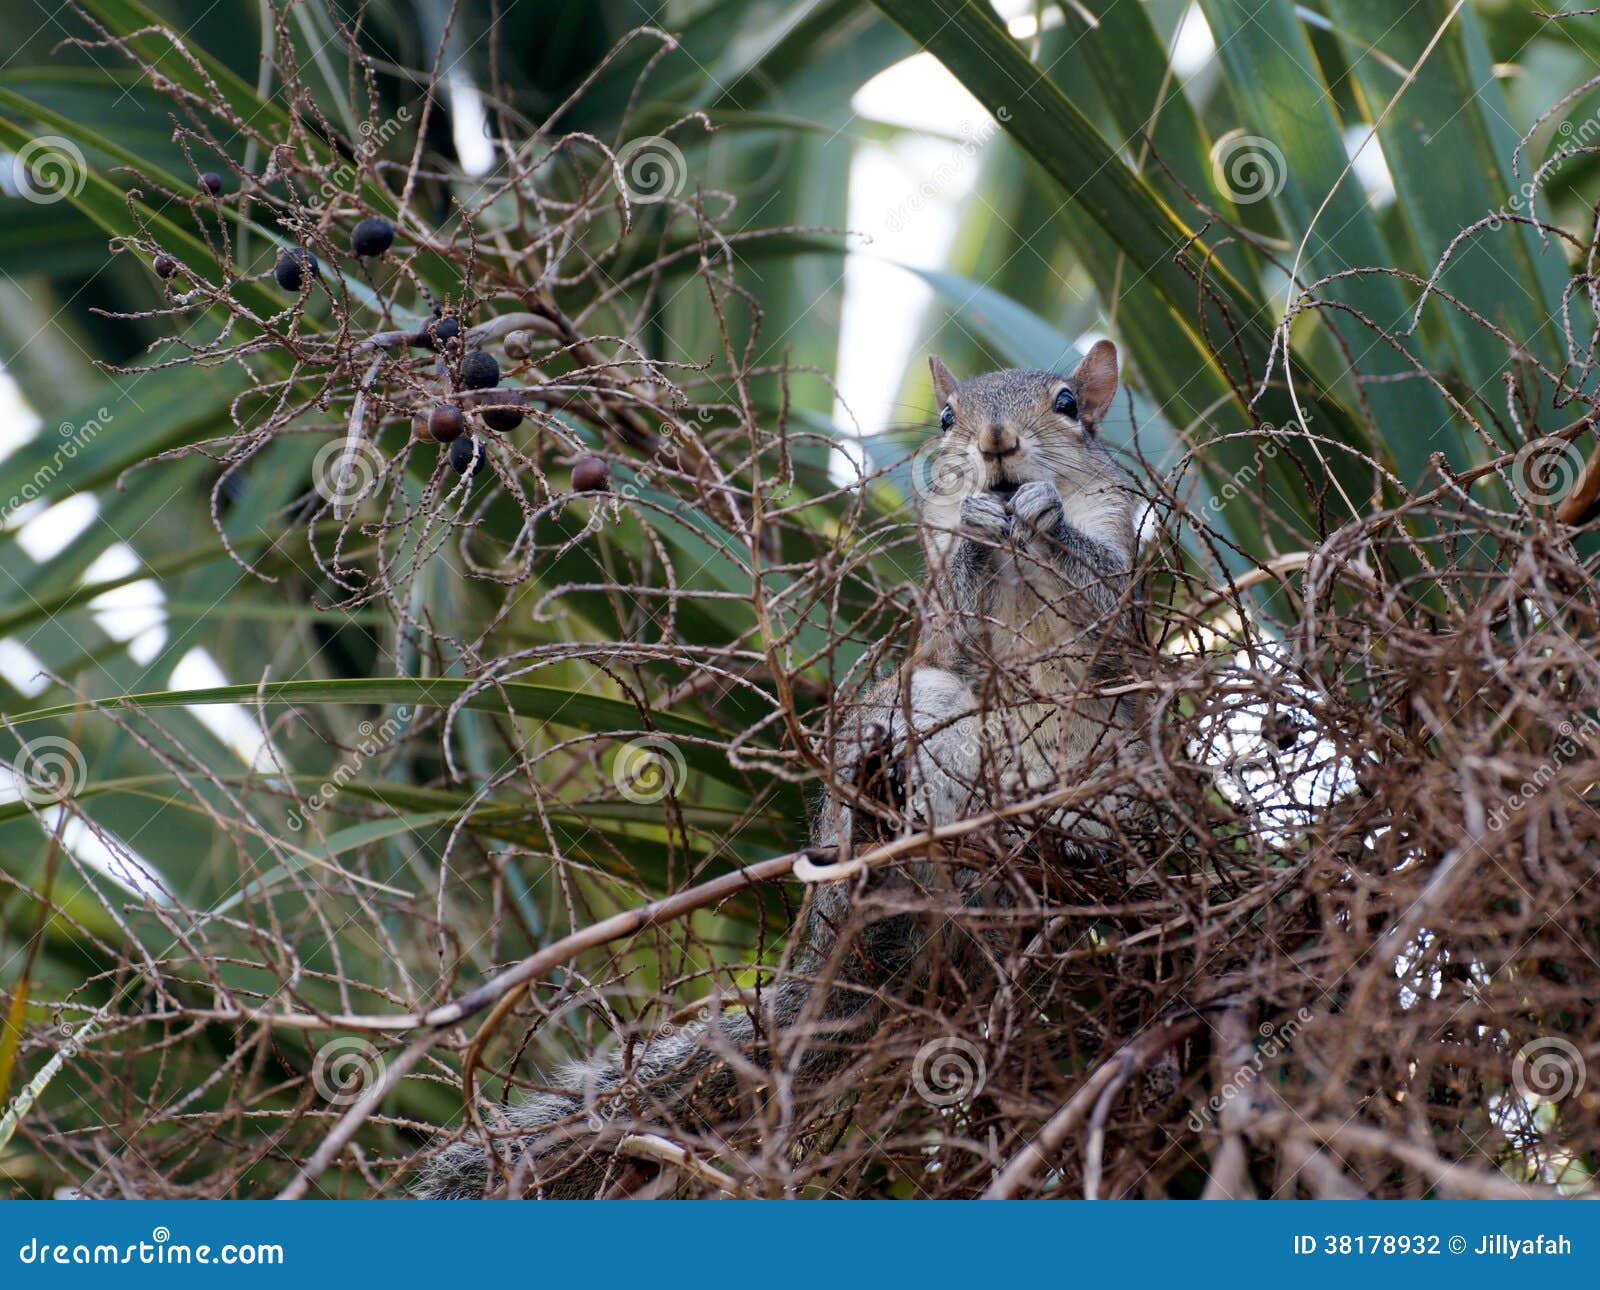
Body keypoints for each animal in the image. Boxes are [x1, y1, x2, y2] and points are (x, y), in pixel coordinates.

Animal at [420, 342, 1145, 1198]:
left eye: (1066, 403)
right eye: (945, 418)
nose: (997, 444)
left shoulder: (1121, 559)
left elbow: (1106, 596)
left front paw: (1045, 509)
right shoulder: (940, 612)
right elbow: (954, 615)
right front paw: (979, 526)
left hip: (1123, 762)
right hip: (921, 722)